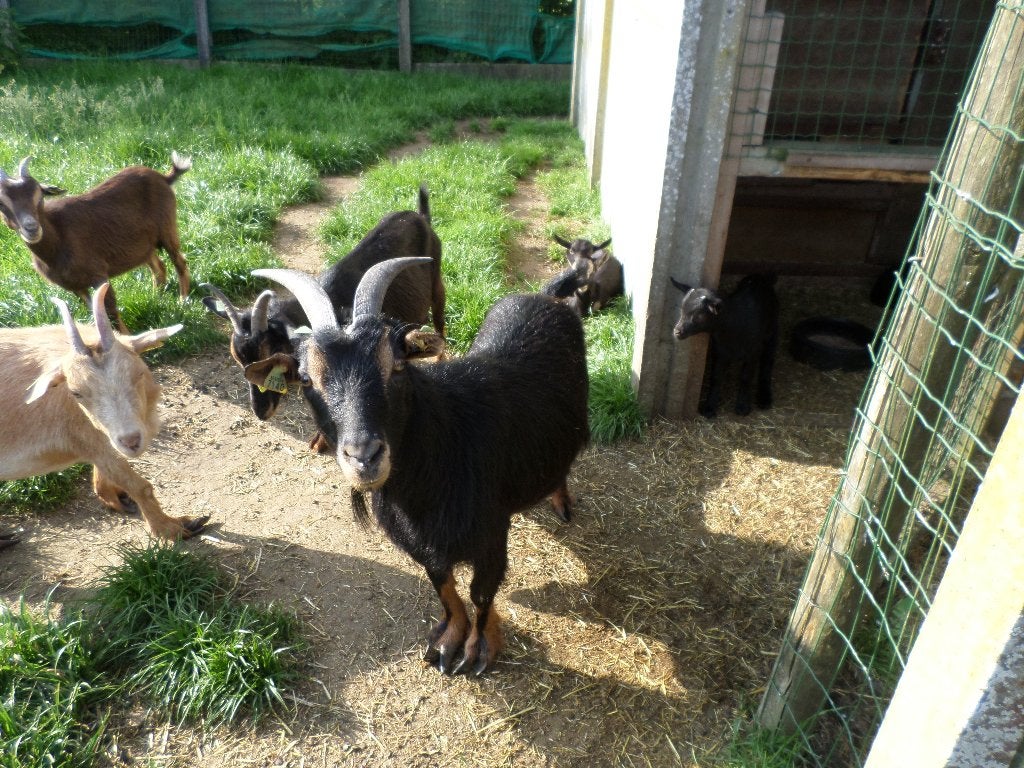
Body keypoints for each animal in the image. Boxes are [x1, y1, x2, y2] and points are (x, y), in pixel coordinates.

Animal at [0, 153, 192, 332]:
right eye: (1, 204)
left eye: (39, 196)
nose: (32, 228)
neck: (58, 240)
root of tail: (163, 177)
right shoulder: (75, 287)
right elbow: (95, 311)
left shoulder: (98, 274)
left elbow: (111, 310)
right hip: (143, 245)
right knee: (158, 266)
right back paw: (156, 296)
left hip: (167, 228)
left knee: (179, 261)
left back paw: (183, 301)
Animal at [0, 282, 209, 541]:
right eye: (76, 393)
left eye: (138, 373)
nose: (131, 440)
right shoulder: (83, 438)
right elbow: (139, 486)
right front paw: (174, 528)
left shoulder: (101, 440)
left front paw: (112, 495)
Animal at [250, 258, 589, 675]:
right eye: (305, 379)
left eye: (396, 364)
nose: (365, 456)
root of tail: (545, 295)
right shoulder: (421, 542)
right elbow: (443, 584)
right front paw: (447, 641)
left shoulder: (491, 533)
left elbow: (481, 593)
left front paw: (479, 649)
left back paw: (561, 501)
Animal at [670, 273, 779, 418]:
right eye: (682, 310)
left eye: (699, 315)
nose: (677, 332)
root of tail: (760, 278)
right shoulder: (719, 351)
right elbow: (716, 378)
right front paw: (709, 407)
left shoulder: (752, 352)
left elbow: (746, 377)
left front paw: (742, 407)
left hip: (772, 331)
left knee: (768, 362)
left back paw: (764, 397)